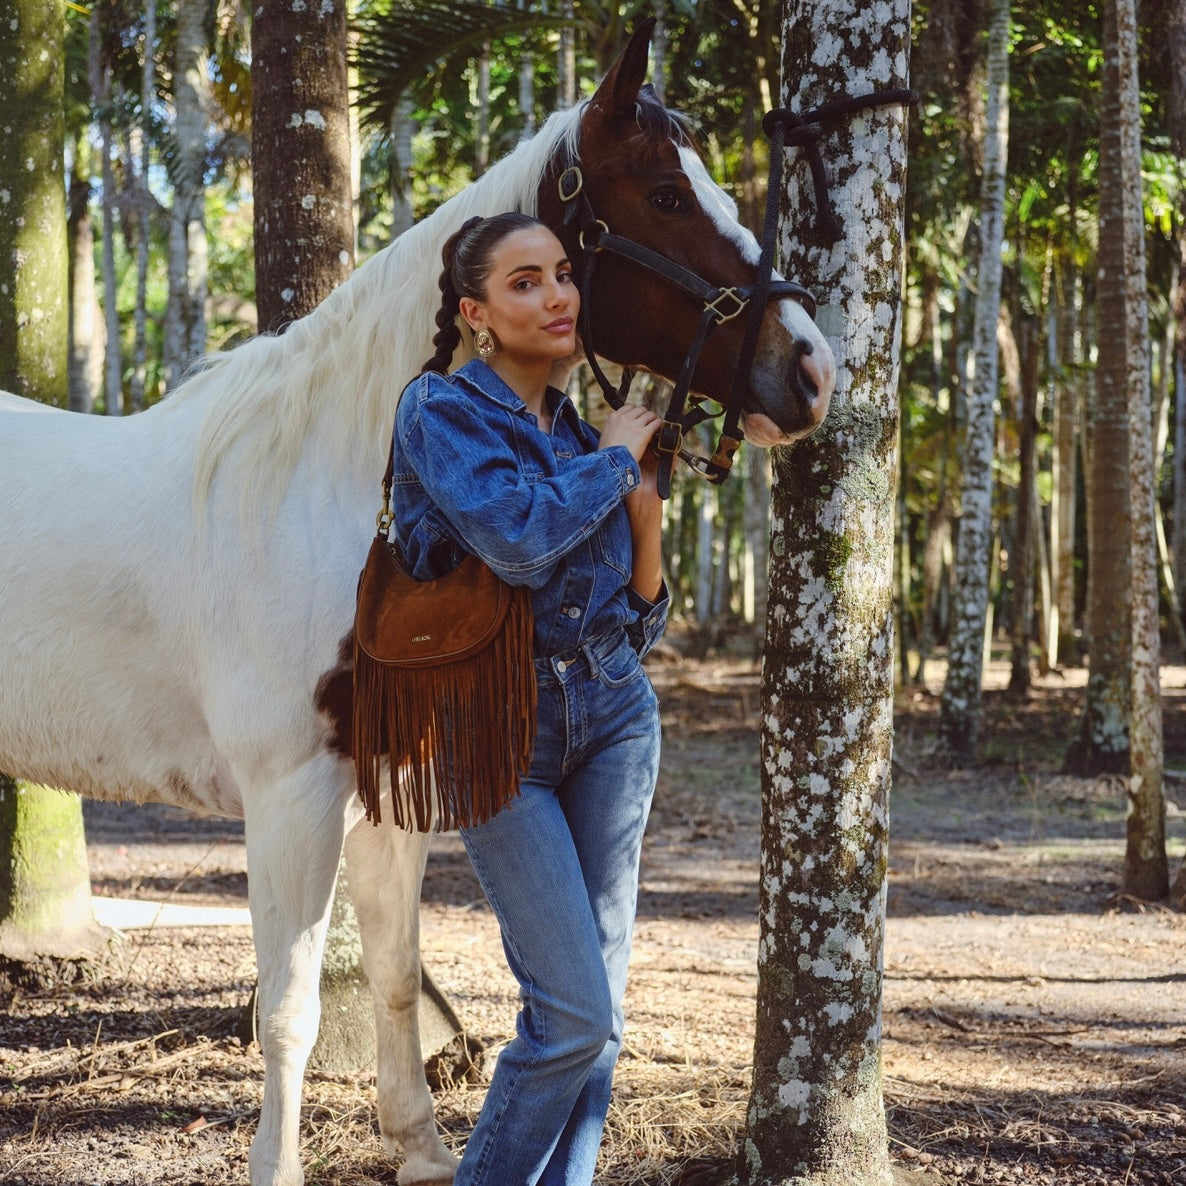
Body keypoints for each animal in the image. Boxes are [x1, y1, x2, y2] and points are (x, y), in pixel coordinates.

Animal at [0, 20, 834, 1186]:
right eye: (667, 194)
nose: (812, 369)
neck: (336, 490)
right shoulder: (290, 794)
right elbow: (292, 1011)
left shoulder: (387, 783)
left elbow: (396, 973)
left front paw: (423, 1149)